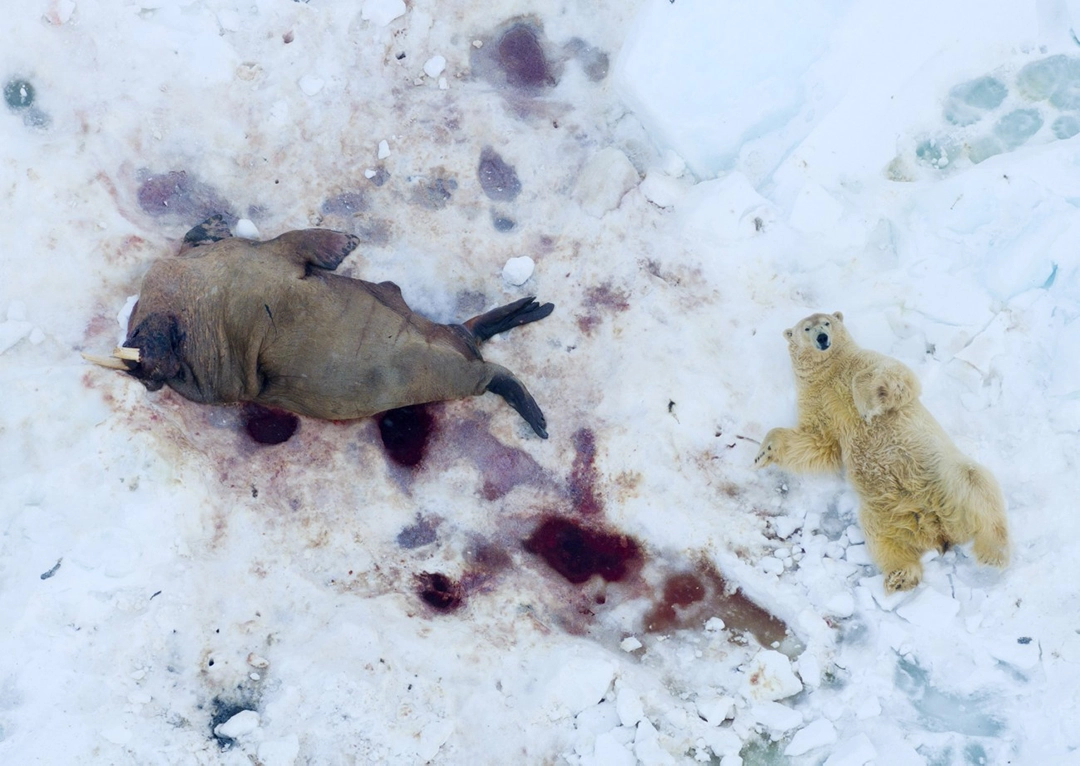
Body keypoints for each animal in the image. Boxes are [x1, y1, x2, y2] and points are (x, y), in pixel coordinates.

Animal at [753, 311, 1010, 593]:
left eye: (827, 323)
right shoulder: (816, 400)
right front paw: (762, 453)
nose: (822, 338)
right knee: (883, 539)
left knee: (977, 487)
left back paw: (991, 555)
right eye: (807, 328)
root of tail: (939, 528)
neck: (829, 370)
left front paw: (866, 404)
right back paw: (900, 577)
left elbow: (895, 377)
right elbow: (819, 442)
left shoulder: (865, 361)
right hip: (884, 513)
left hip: (946, 475)